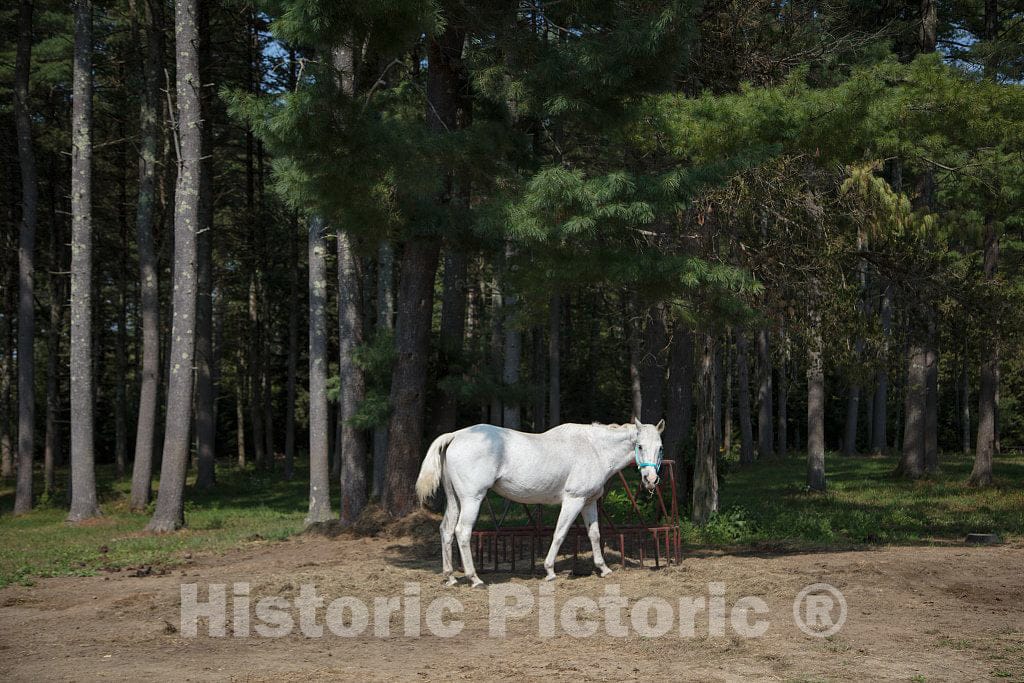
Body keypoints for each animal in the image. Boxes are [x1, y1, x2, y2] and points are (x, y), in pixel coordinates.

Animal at [415, 416, 666, 587]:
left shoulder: (588, 502)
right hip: (472, 499)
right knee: (462, 532)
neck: (594, 449)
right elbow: (560, 533)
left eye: (660, 447)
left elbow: (594, 534)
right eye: (640, 446)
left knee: (446, 530)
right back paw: (475, 579)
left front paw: (603, 568)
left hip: (455, 500)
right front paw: (550, 571)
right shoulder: (573, 500)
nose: (651, 480)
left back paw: (450, 577)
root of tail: (456, 435)